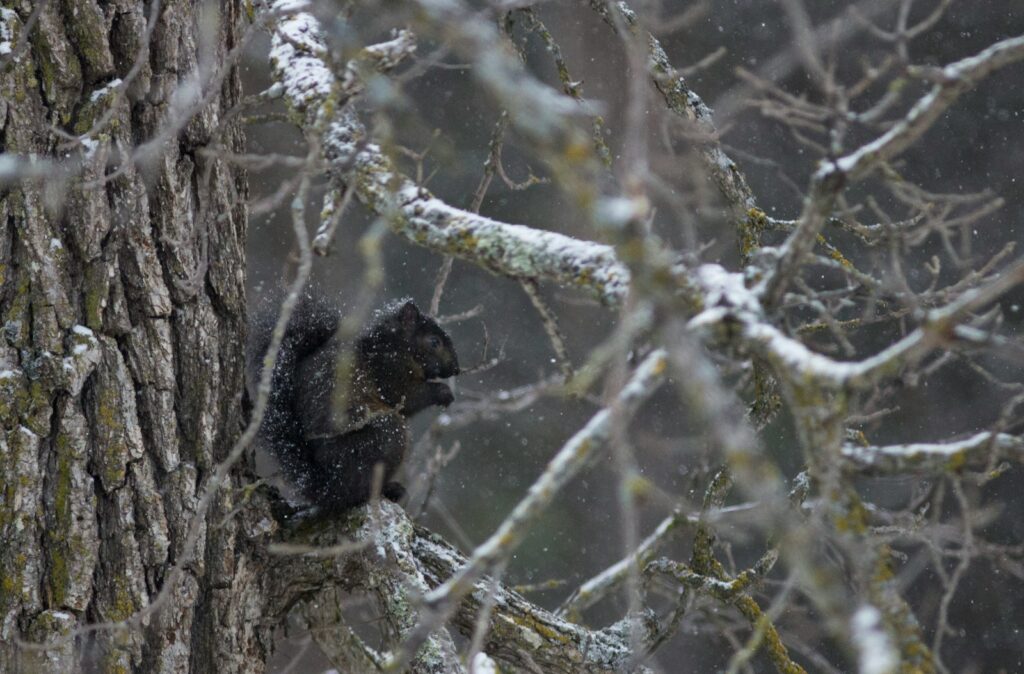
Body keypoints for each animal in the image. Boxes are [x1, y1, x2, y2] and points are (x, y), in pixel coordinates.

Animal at [247, 294, 459, 512]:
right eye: (434, 342)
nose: (456, 369)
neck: (394, 345)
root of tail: (326, 484)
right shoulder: (388, 372)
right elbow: (409, 397)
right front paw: (443, 392)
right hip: (384, 436)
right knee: (355, 492)